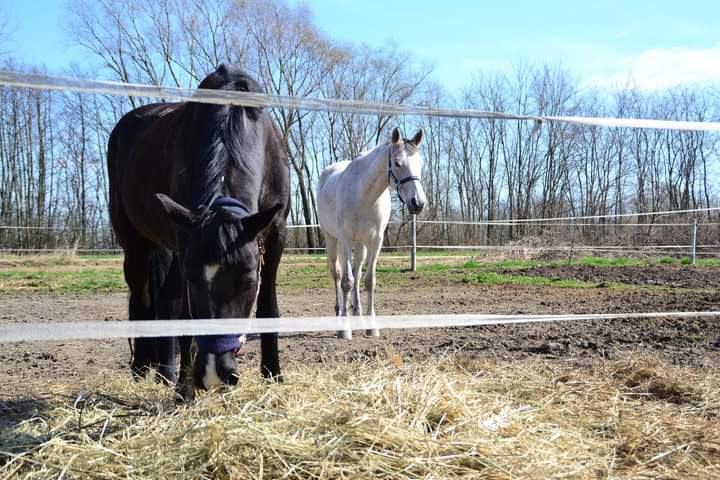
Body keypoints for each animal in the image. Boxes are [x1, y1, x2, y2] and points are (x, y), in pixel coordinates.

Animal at [107, 64, 290, 402]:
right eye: (195, 282)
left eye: (248, 281)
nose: (215, 374)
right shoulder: (185, 248)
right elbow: (186, 316)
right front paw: (185, 388)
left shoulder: (276, 235)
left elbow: (269, 307)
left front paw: (273, 375)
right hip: (136, 246)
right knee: (143, 299)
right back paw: (144, 371)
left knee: (164, 300)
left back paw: (164, 373)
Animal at [318, 125, 424, 340]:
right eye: (398, 163)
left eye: (421, 164)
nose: (418, 203)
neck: (364, 195)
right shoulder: (344, 239)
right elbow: (346, 282)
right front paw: (344, 329)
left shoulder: (376, 242)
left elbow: (369, 281)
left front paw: (371, 326)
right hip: (332, 240)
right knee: (337, 274)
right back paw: (339, 313)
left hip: (360, 245)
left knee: (357, 272)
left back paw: (357, 314)